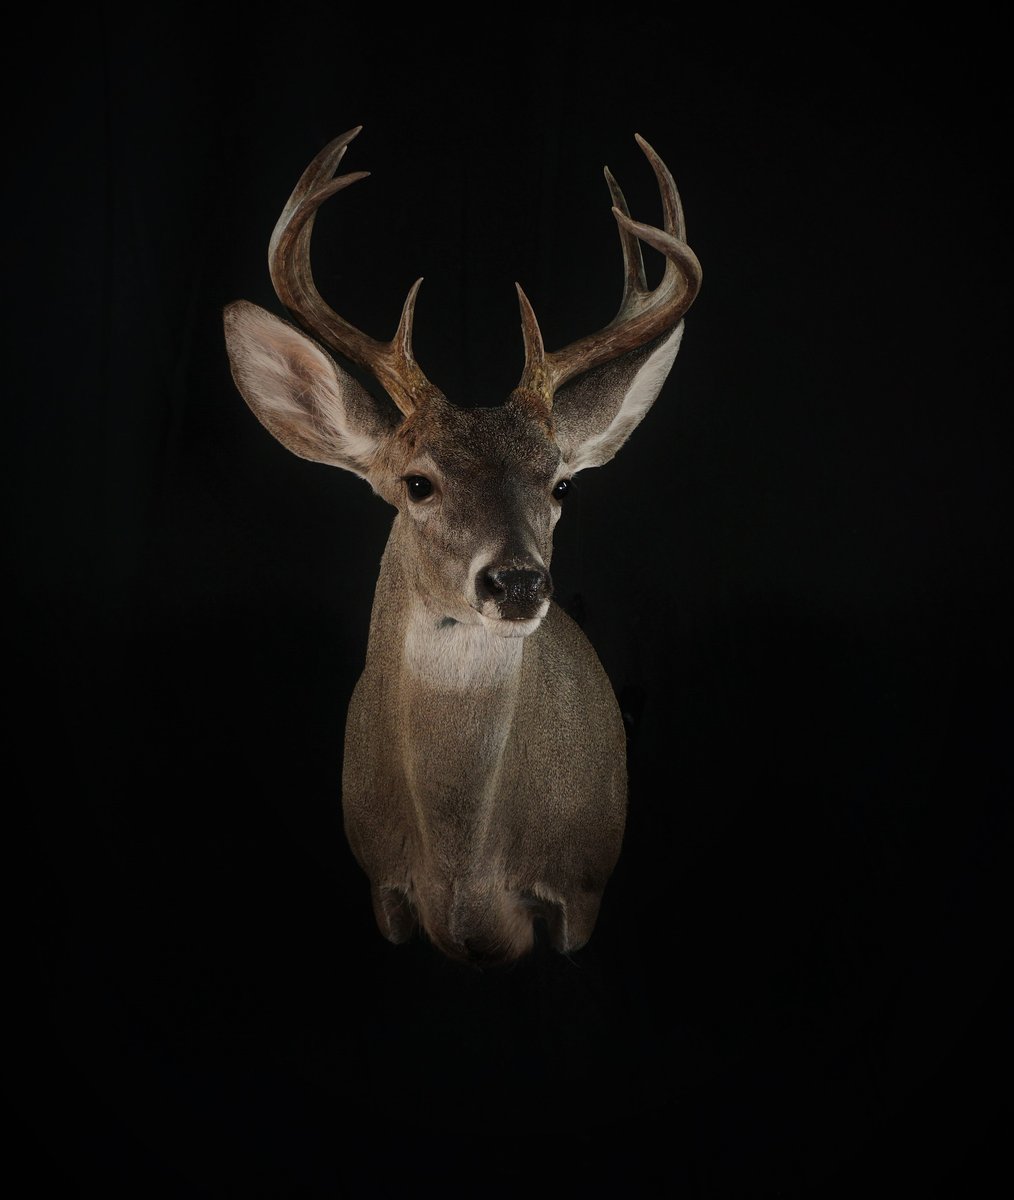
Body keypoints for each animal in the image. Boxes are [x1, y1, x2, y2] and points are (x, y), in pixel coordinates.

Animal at [223, 126, 701, 967]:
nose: (517, 583)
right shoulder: (380, 884)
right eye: (418, 483)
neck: (461, 864)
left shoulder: (582, 885)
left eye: (562, 485)